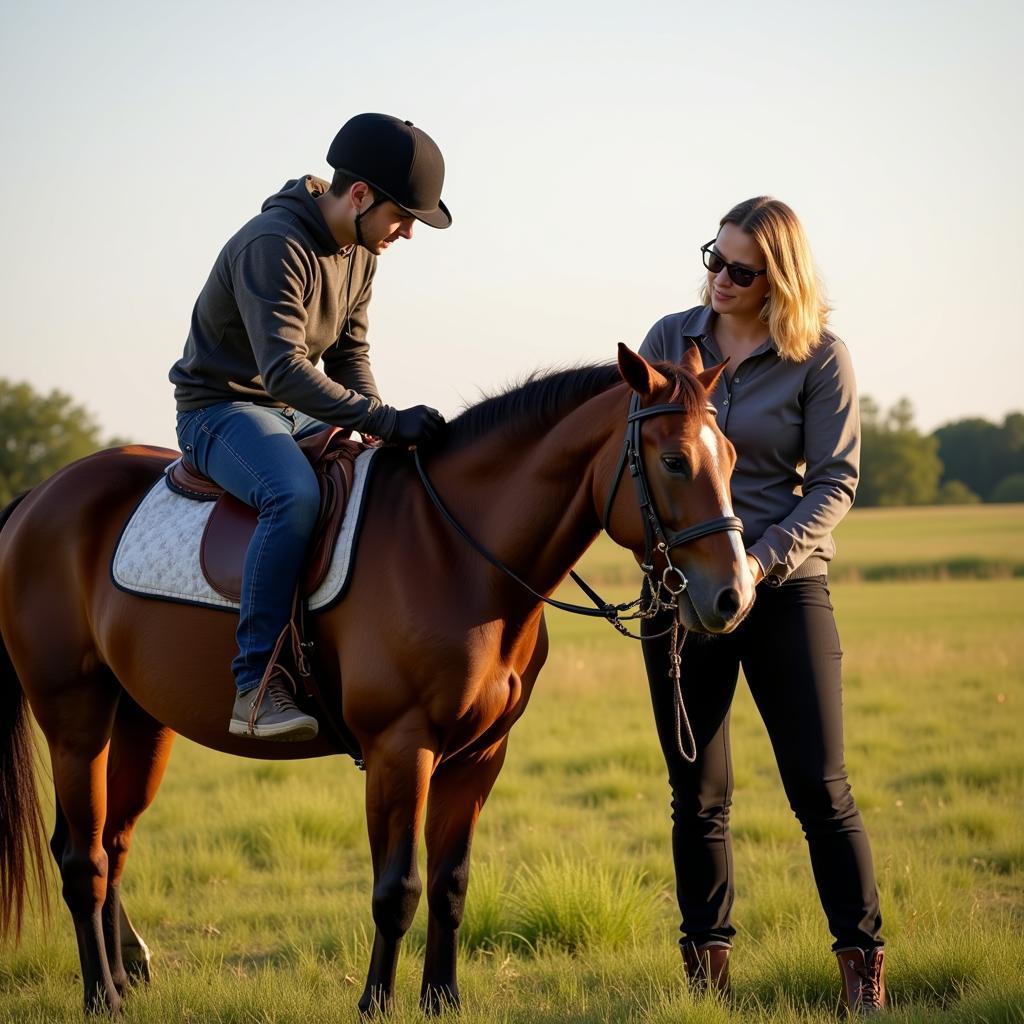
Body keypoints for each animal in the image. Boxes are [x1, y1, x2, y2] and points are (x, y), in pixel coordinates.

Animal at [0, 346, 753, 1015]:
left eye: (733, 456)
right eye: (674, 460)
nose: (733, 597)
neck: (455, 553)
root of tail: (38, 497)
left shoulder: (480, 755)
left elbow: (450, 883)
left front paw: (442, 999)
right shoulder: (400, 748)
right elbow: (398, 888)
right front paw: (376, 1002)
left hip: (139, 720)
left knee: (112, 845)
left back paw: (123, 981)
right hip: (74, 719)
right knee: (82, 860)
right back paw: (101, 997)